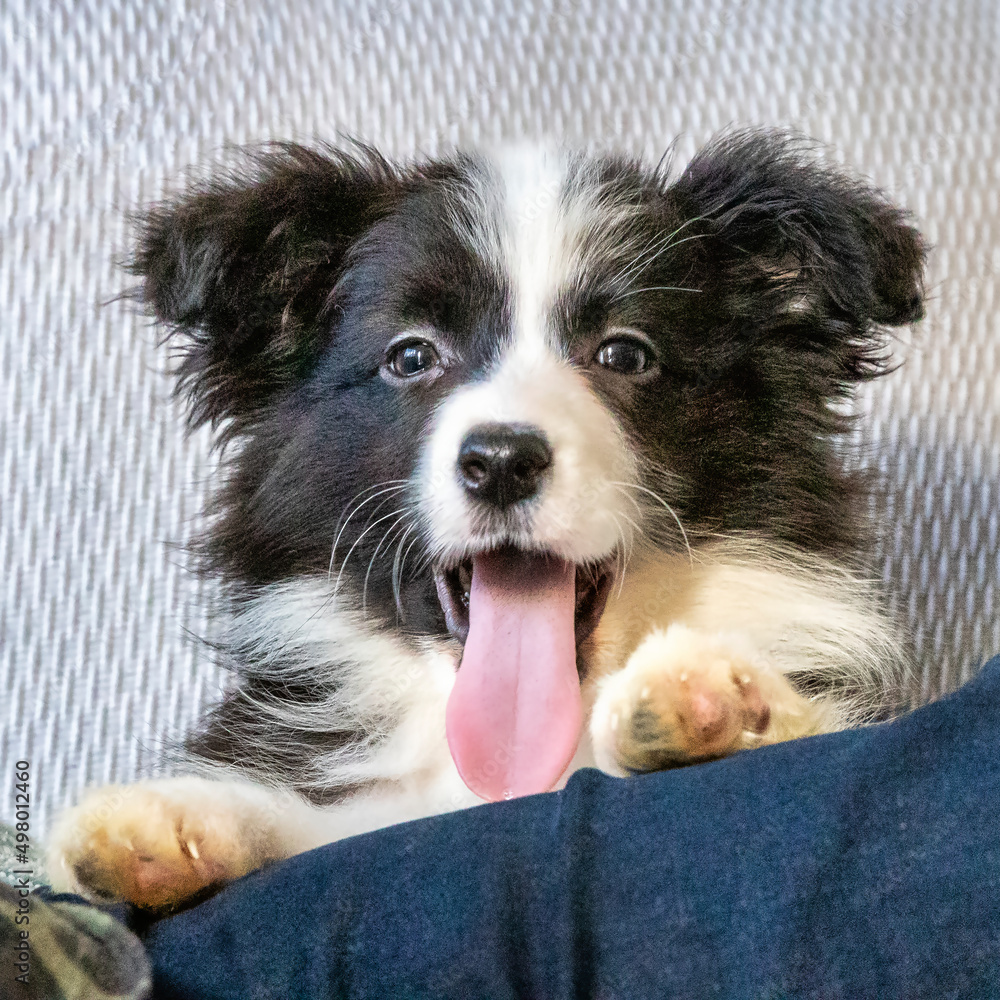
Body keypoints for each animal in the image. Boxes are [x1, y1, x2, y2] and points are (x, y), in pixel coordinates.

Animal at [47, 129, 920, 912]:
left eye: (626, 354)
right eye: (410, 356)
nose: (501, 460)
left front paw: (719, 705)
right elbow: (324, 825)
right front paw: (170, 824)